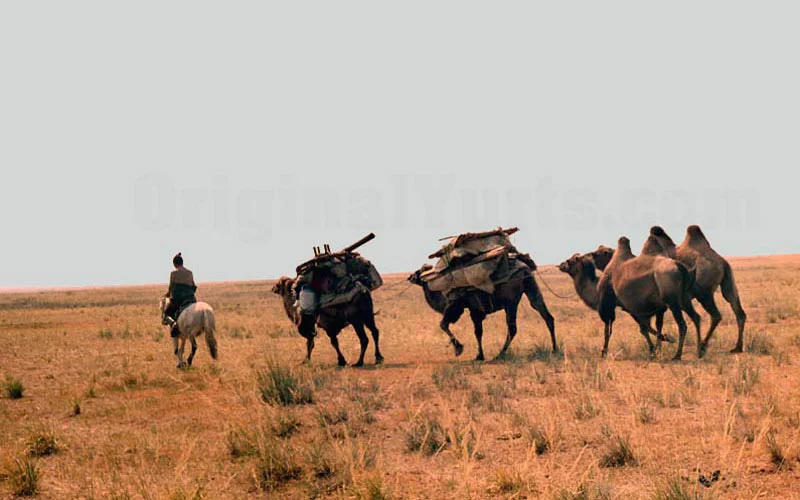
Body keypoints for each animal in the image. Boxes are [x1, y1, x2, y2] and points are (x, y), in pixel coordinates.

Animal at [407, 264, 557, 361]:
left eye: (421, 270)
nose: (410, 276)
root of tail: (524, 269)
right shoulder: (475, 309)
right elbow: (478, 332)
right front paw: (479, 355)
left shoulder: (458, 305)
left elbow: (444, 324)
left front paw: (460, 349)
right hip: (530, 287)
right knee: (546, 315)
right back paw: (555, 349)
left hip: (510, 301)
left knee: (512, 328)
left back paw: (500, 355)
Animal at [649, 225, 747, 355]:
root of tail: (722, 262)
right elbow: (657, 323)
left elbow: (657, 323)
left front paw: (658, 348)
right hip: (728, 281)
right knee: (737, 308)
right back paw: (737, 347)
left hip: (704, 293)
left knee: (716, 315)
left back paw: (703, 346)